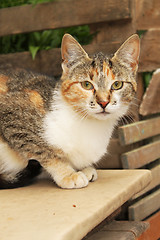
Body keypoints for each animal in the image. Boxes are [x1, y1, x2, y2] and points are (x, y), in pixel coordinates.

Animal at [0, 33, 140, 189]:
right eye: (86, 85)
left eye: (117, 85)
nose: (103, 102)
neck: (89, 124)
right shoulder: (11, 112)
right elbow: (43, 150)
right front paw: (68, 174)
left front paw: (84, 169)